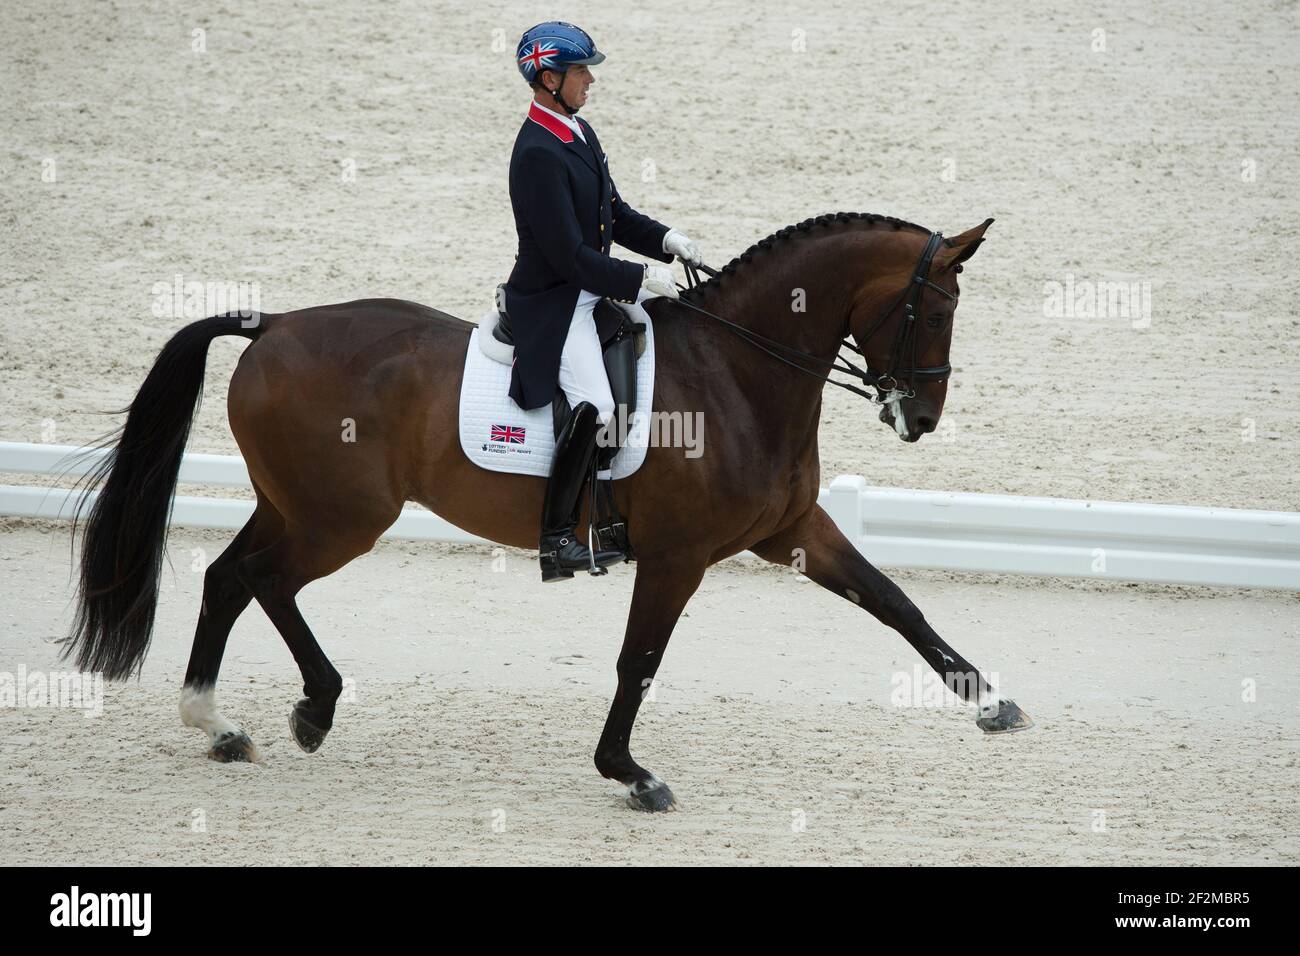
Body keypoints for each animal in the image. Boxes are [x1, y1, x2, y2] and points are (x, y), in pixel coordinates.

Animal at [65, 213, 1029, 811]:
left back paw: (224, 725)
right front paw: (630, 774)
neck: (739, 373)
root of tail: (275, 324)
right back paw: (307, 709)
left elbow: (895, 602)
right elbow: (638, 662)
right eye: (932, 311)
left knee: (230, 578)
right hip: (339, 519)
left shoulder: (792, 533)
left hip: (297, 506)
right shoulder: (677, 557)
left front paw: (989, 702)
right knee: (262, 582)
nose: (920, 418)